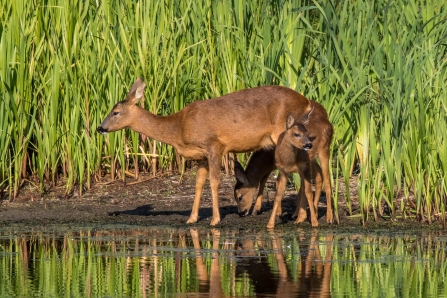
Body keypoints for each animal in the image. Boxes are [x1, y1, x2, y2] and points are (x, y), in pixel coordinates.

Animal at [96, 77, 312, 226]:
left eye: (115, 112)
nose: (100, 127)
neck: (179, 128)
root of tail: (307, 102)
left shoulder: (214, 145)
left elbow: (214, 181)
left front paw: (215, 220)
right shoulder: (200, 155)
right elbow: (199, 183)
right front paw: (192, 218)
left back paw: (296, 216)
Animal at [233, 100, 334, 228]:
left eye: (239, 197)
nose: (241, 212)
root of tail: (328, 123)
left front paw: (277, 213)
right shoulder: (278, 167)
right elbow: (267, 183)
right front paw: (260, 211)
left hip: (324, 151)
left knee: (327, 181)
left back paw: (328, 218)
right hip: (312, 159)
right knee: (318, 176)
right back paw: (307, 214)